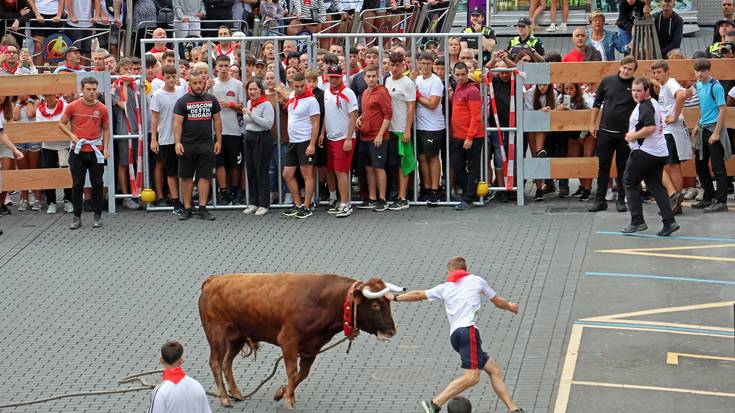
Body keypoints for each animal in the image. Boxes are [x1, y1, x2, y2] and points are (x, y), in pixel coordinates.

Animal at [198, 272, 406, 408]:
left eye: (388, 303)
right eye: (376, 304)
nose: (391, 331)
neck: (322, 301)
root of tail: (213, 280)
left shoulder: (312, 346)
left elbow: (302, 374)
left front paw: (282, 392)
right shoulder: (288, 340)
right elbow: (292, 371)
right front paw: (289, 399)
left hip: (237, 337)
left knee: (227, 362)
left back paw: (236, 393)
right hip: (216, 335)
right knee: (216, 362)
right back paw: (224, 398)